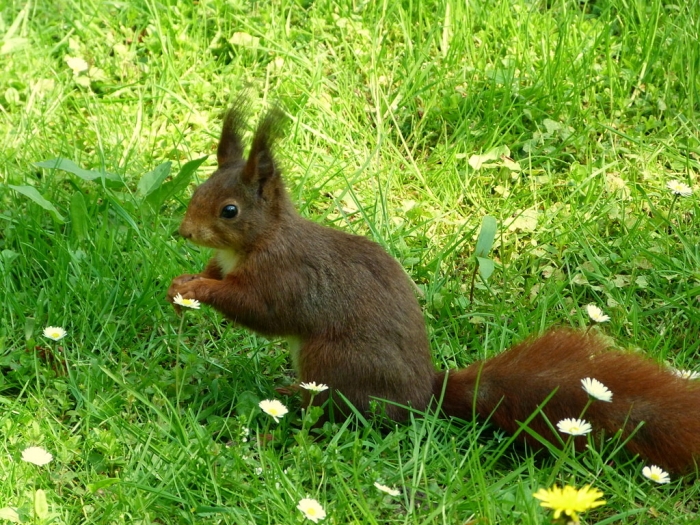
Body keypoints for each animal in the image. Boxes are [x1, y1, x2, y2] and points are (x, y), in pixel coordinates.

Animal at [167, 104, 700, 474]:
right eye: (196, 191)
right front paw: (184, 282)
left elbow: (258, 309)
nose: (184, 232)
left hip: (332, 362)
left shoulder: (286, 277)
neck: (260, 240)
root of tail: (423, 396)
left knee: (334, 413)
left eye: (230, 211)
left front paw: (200, 290)